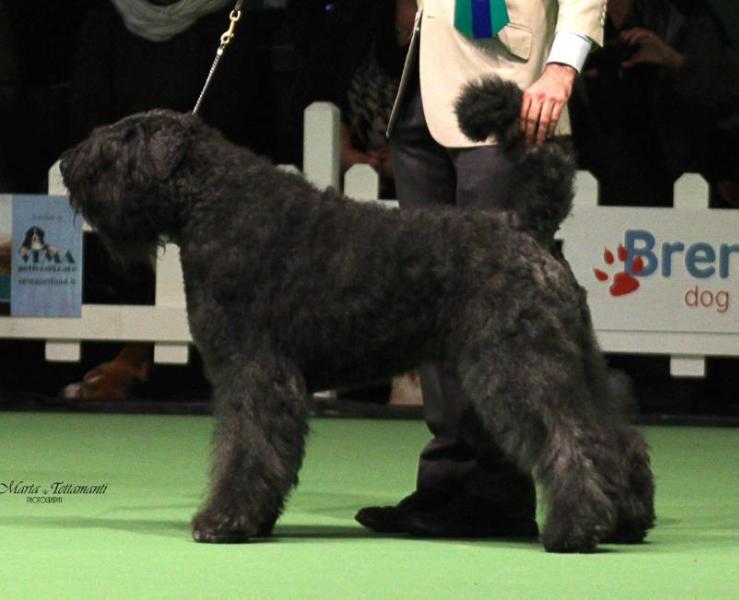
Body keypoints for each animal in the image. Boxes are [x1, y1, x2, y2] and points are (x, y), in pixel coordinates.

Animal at [62, 77, 652, 552]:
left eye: (119, 143)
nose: (67, 164)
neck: (214, 202)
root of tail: (524, 224)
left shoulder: (253, 371)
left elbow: (245, 447)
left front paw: (224, 520)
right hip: (575, 362)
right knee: (613, 437)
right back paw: (627, 521)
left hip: (518, 367)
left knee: (568, 439)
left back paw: (574, 529)